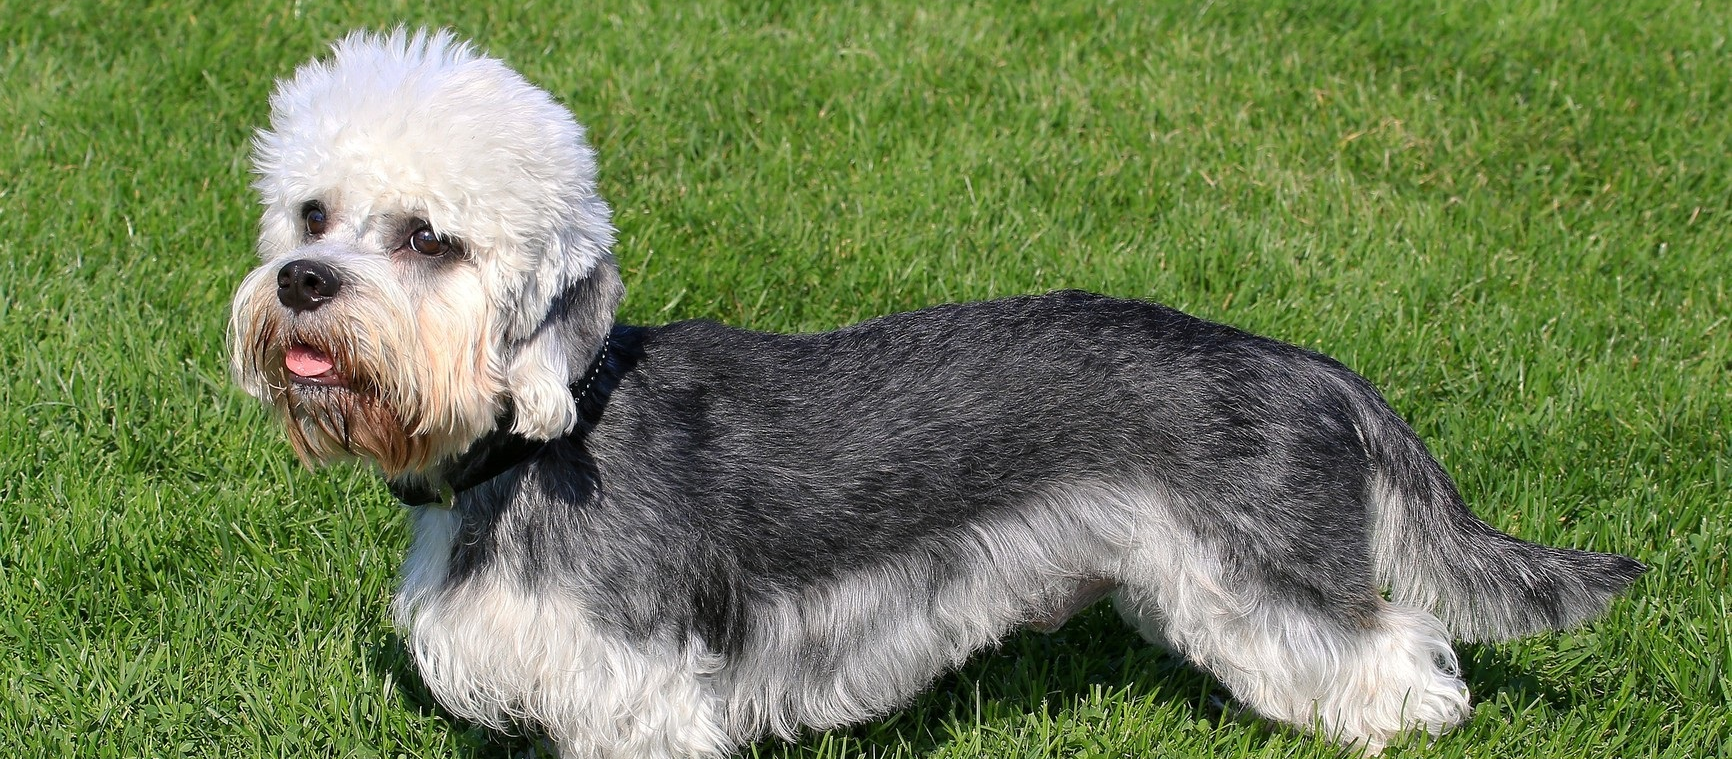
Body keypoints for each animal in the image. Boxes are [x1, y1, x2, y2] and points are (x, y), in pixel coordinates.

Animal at [226, 28, 1635, 752]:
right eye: (314, 213)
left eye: (428, 239)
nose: (299, 283)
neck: (537, 439)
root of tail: (1313, 368)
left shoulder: (639, 697)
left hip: (1264, 576)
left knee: (1397, 651)